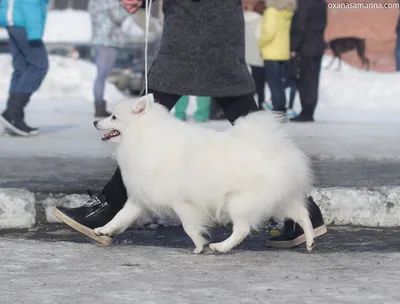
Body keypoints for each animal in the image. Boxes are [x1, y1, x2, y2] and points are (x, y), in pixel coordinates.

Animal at [94, 95, 316, 254]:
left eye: (114, 117)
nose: (96, 121)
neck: (144, 136)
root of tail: (277, 149)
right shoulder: (140, 198)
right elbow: (121, 217)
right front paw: (103, 230)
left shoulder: (182, 202)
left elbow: (189, 227)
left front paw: (200, 246)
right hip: (279, 200)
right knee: (302, 214)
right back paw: (310, 240)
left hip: (239, 201)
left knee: (242, 229)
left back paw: (221, 247)